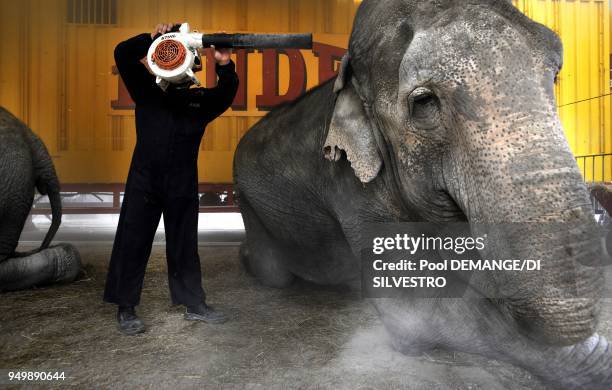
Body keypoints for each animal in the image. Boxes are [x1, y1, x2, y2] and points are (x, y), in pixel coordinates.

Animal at [233, 1, 612, 388]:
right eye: (424, 101)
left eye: (555, 78)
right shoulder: (347, 183)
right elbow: (419, 309)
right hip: (249, 205)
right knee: (272, 273)